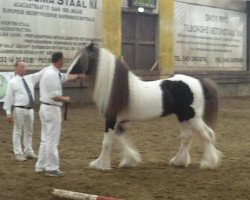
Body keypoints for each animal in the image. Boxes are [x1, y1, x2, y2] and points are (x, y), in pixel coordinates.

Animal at [67, 42, 223, 170]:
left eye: (82, 59)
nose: (67, 75)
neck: (118, 89)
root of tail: (198, 81)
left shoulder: (110, 119)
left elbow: (107, 141)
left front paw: (100, 164)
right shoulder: (120, 121)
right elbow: (120, 138)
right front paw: (130, 160)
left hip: (193, 117)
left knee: (207, 134)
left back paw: (208, 163)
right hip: (183, 116)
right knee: (187, 137)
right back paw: (179, 161)